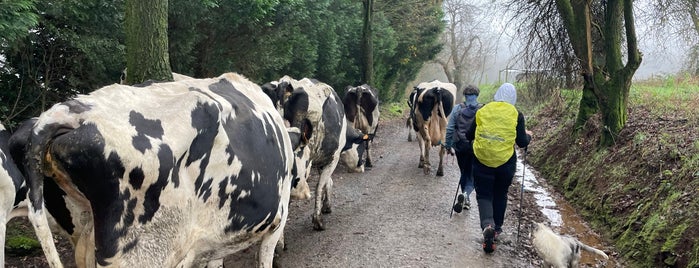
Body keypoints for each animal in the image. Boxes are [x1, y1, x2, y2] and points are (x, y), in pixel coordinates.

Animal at [260, 76, 364, 230]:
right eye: (363, 145)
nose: (362, 166)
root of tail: (284, 83)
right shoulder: (332, 158)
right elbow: (321, 185)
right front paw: (318, 220)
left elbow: (327, 182)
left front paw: (326, 206)